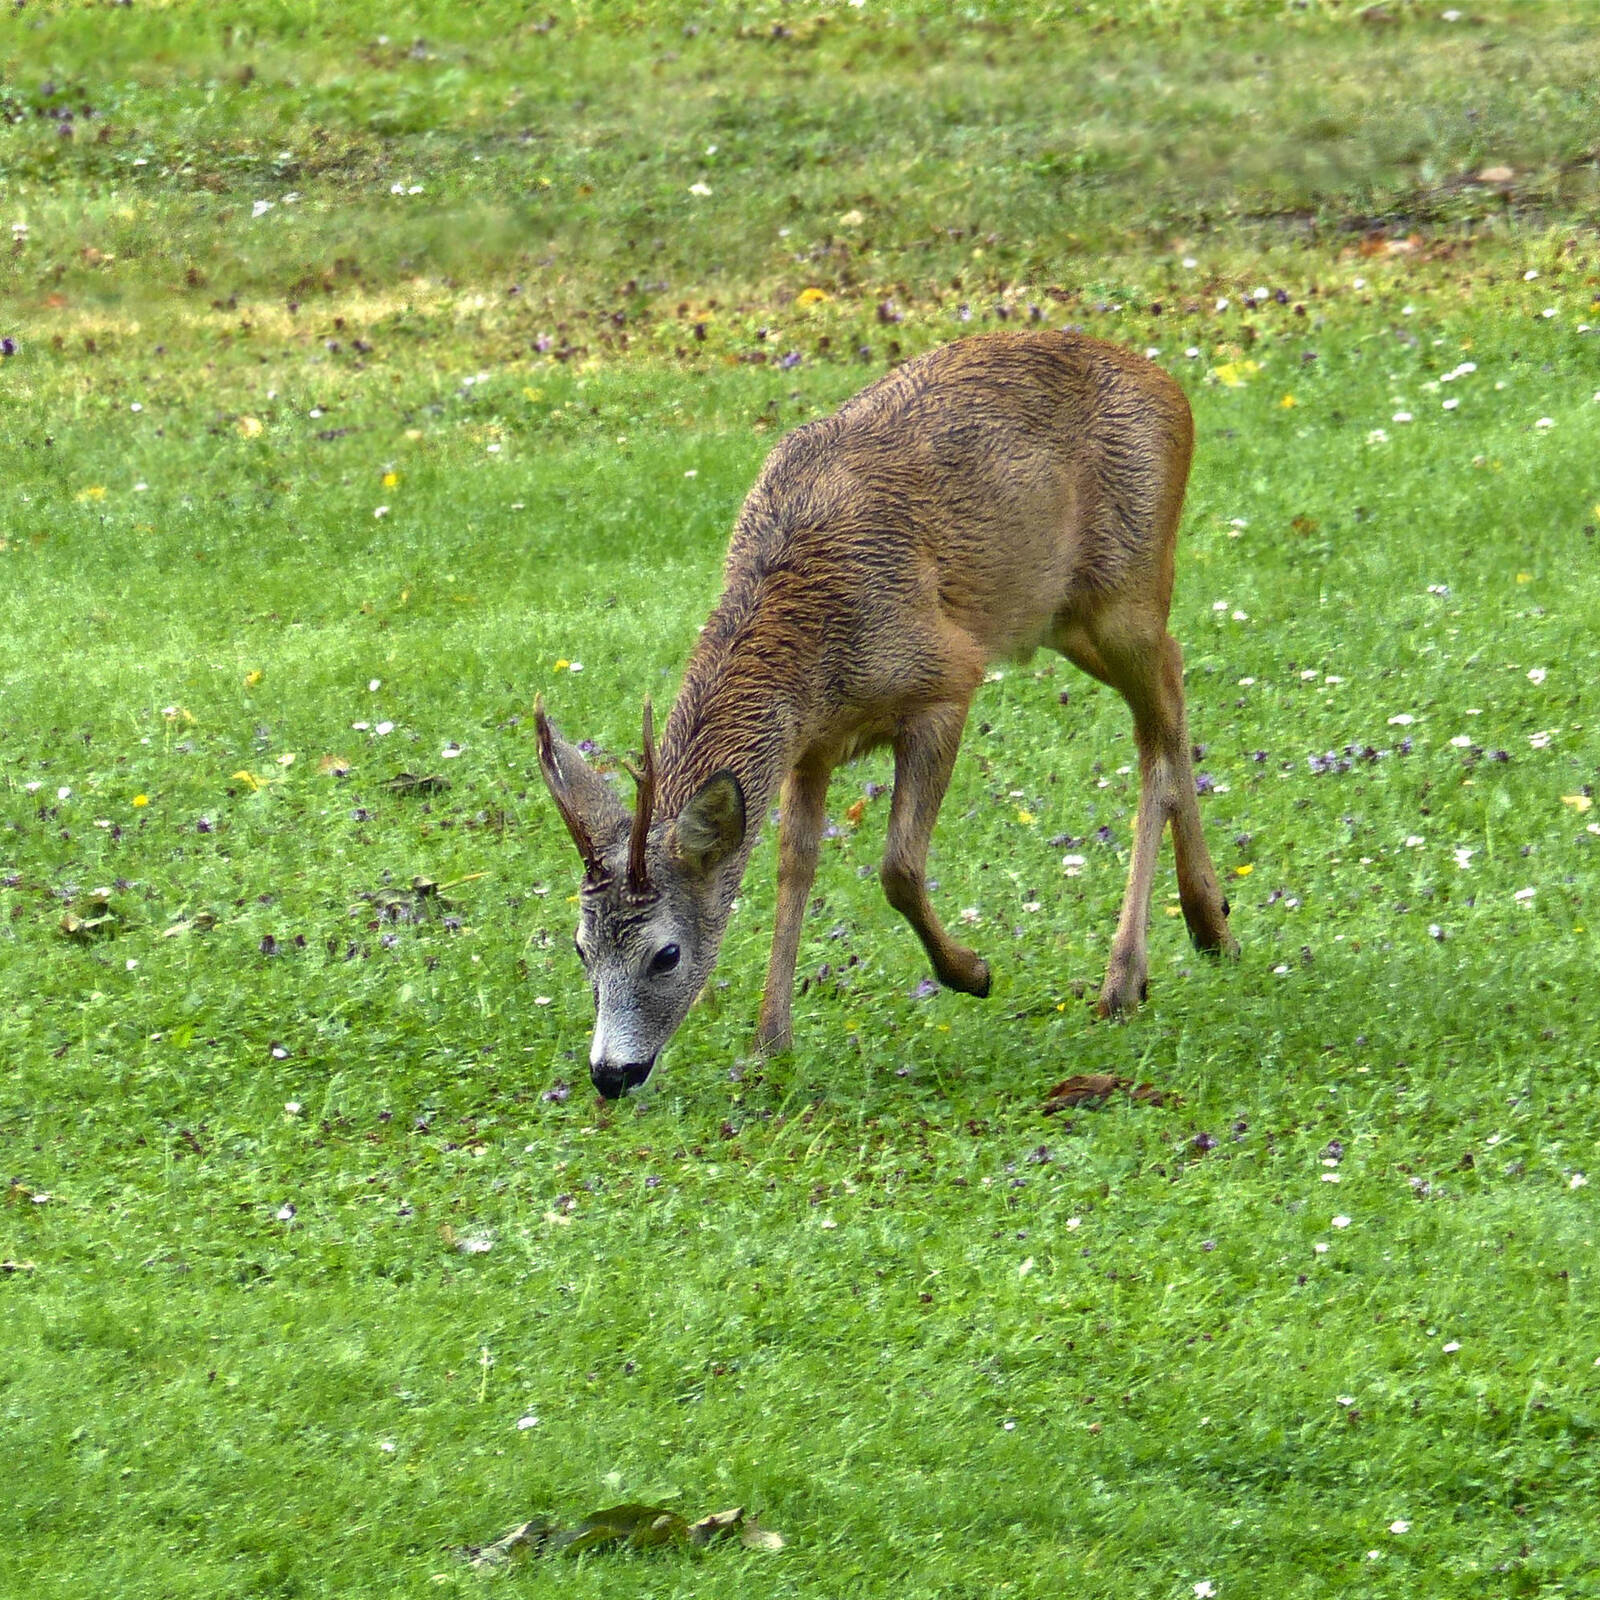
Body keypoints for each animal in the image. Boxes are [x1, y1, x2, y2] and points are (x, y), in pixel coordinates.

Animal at [536, 329, 1238, 1099]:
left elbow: (899, 867)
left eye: (665, 954)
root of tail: (1169, 383)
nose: (610, 1073)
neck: (808, 638)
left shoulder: (946, 678)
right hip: (1062, 614)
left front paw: (971, 972)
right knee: (1171, 685)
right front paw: (770, 1043)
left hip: (1128, 582)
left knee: (1158, 727)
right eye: (580, 947)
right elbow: (794, 864)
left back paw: (1132, 974)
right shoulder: (808, 746)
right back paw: (1205, 926)